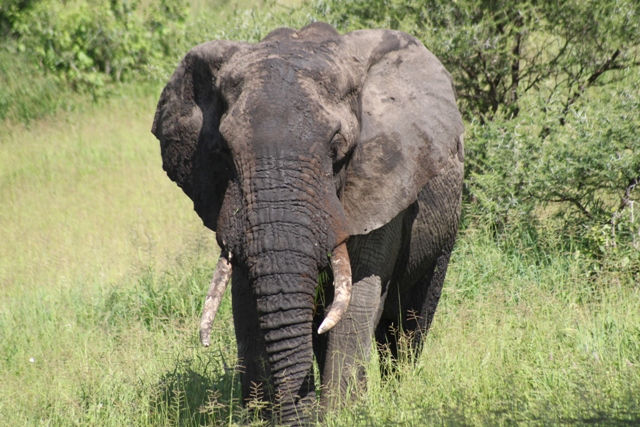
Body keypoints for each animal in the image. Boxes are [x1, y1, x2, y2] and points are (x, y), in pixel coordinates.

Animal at [152, 22, 464, 424]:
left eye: (338, 147)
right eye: (223, 150)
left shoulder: (382, 185)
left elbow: (357, 300)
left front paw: (342, 414)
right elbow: (246, 303)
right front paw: (259, 414)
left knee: (408, 320)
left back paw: (401, 391)